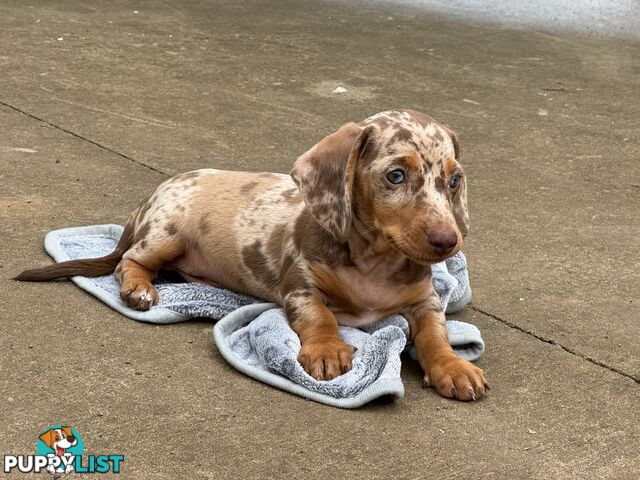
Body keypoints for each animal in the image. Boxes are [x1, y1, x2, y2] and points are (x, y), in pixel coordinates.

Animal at [18, 109, 490, 402]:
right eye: (395, 175)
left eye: (453, 181)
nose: (447, 241)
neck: (376, 261)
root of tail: (150, 196)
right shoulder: (300, 286)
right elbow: (320, 315)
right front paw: (327, 349)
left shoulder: (425, 300)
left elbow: (434, 333)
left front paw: (452, 367)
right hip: (166, 234)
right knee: (126, 261)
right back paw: (140, 290)